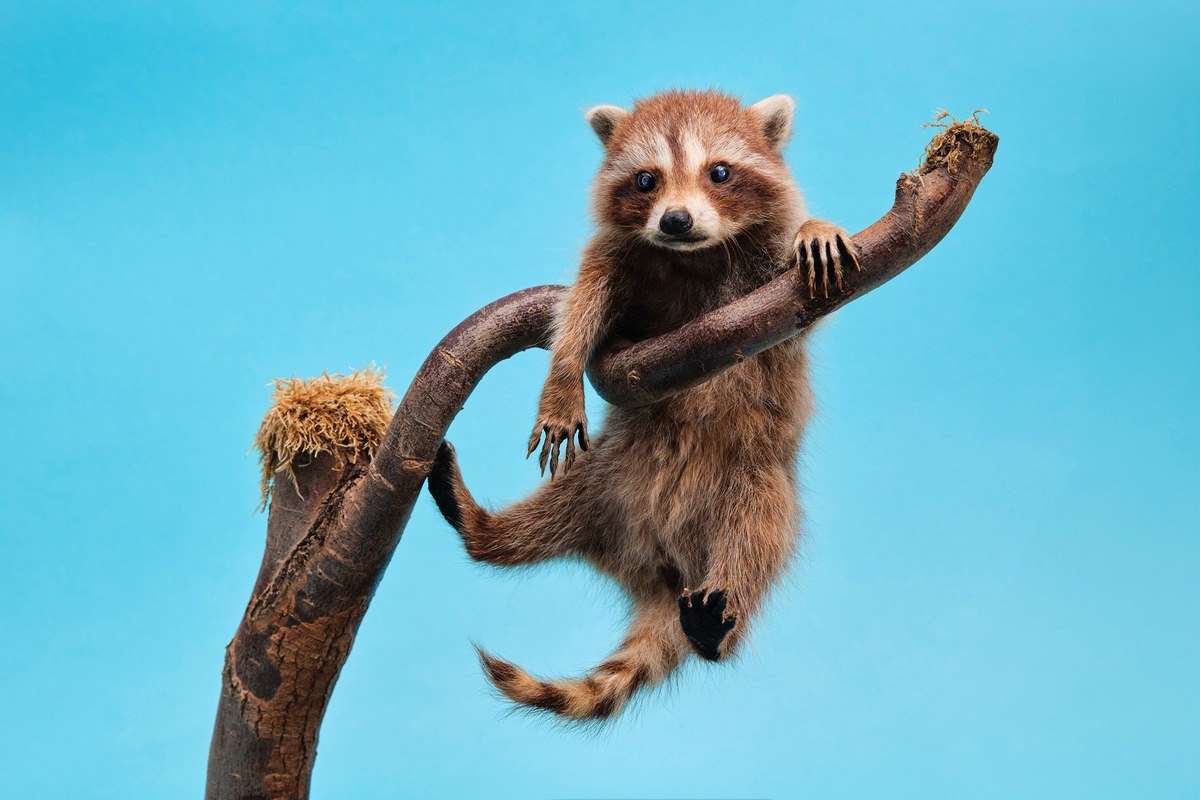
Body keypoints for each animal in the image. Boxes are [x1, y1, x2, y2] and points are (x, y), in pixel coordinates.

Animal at [427, 87, 859, 719]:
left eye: (719, 172)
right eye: (646, 180)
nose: (675, 220)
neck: (698, 254)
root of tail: (661, 569)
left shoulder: (778, 300)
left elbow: (803, 312)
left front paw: (815, 226)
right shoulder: (620, 257)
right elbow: (583, 303)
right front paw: (563, 379)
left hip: (756, 481)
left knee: (757, 536)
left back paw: (716, 628)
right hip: (601, 481)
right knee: (533, 524)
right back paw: (478, 524)